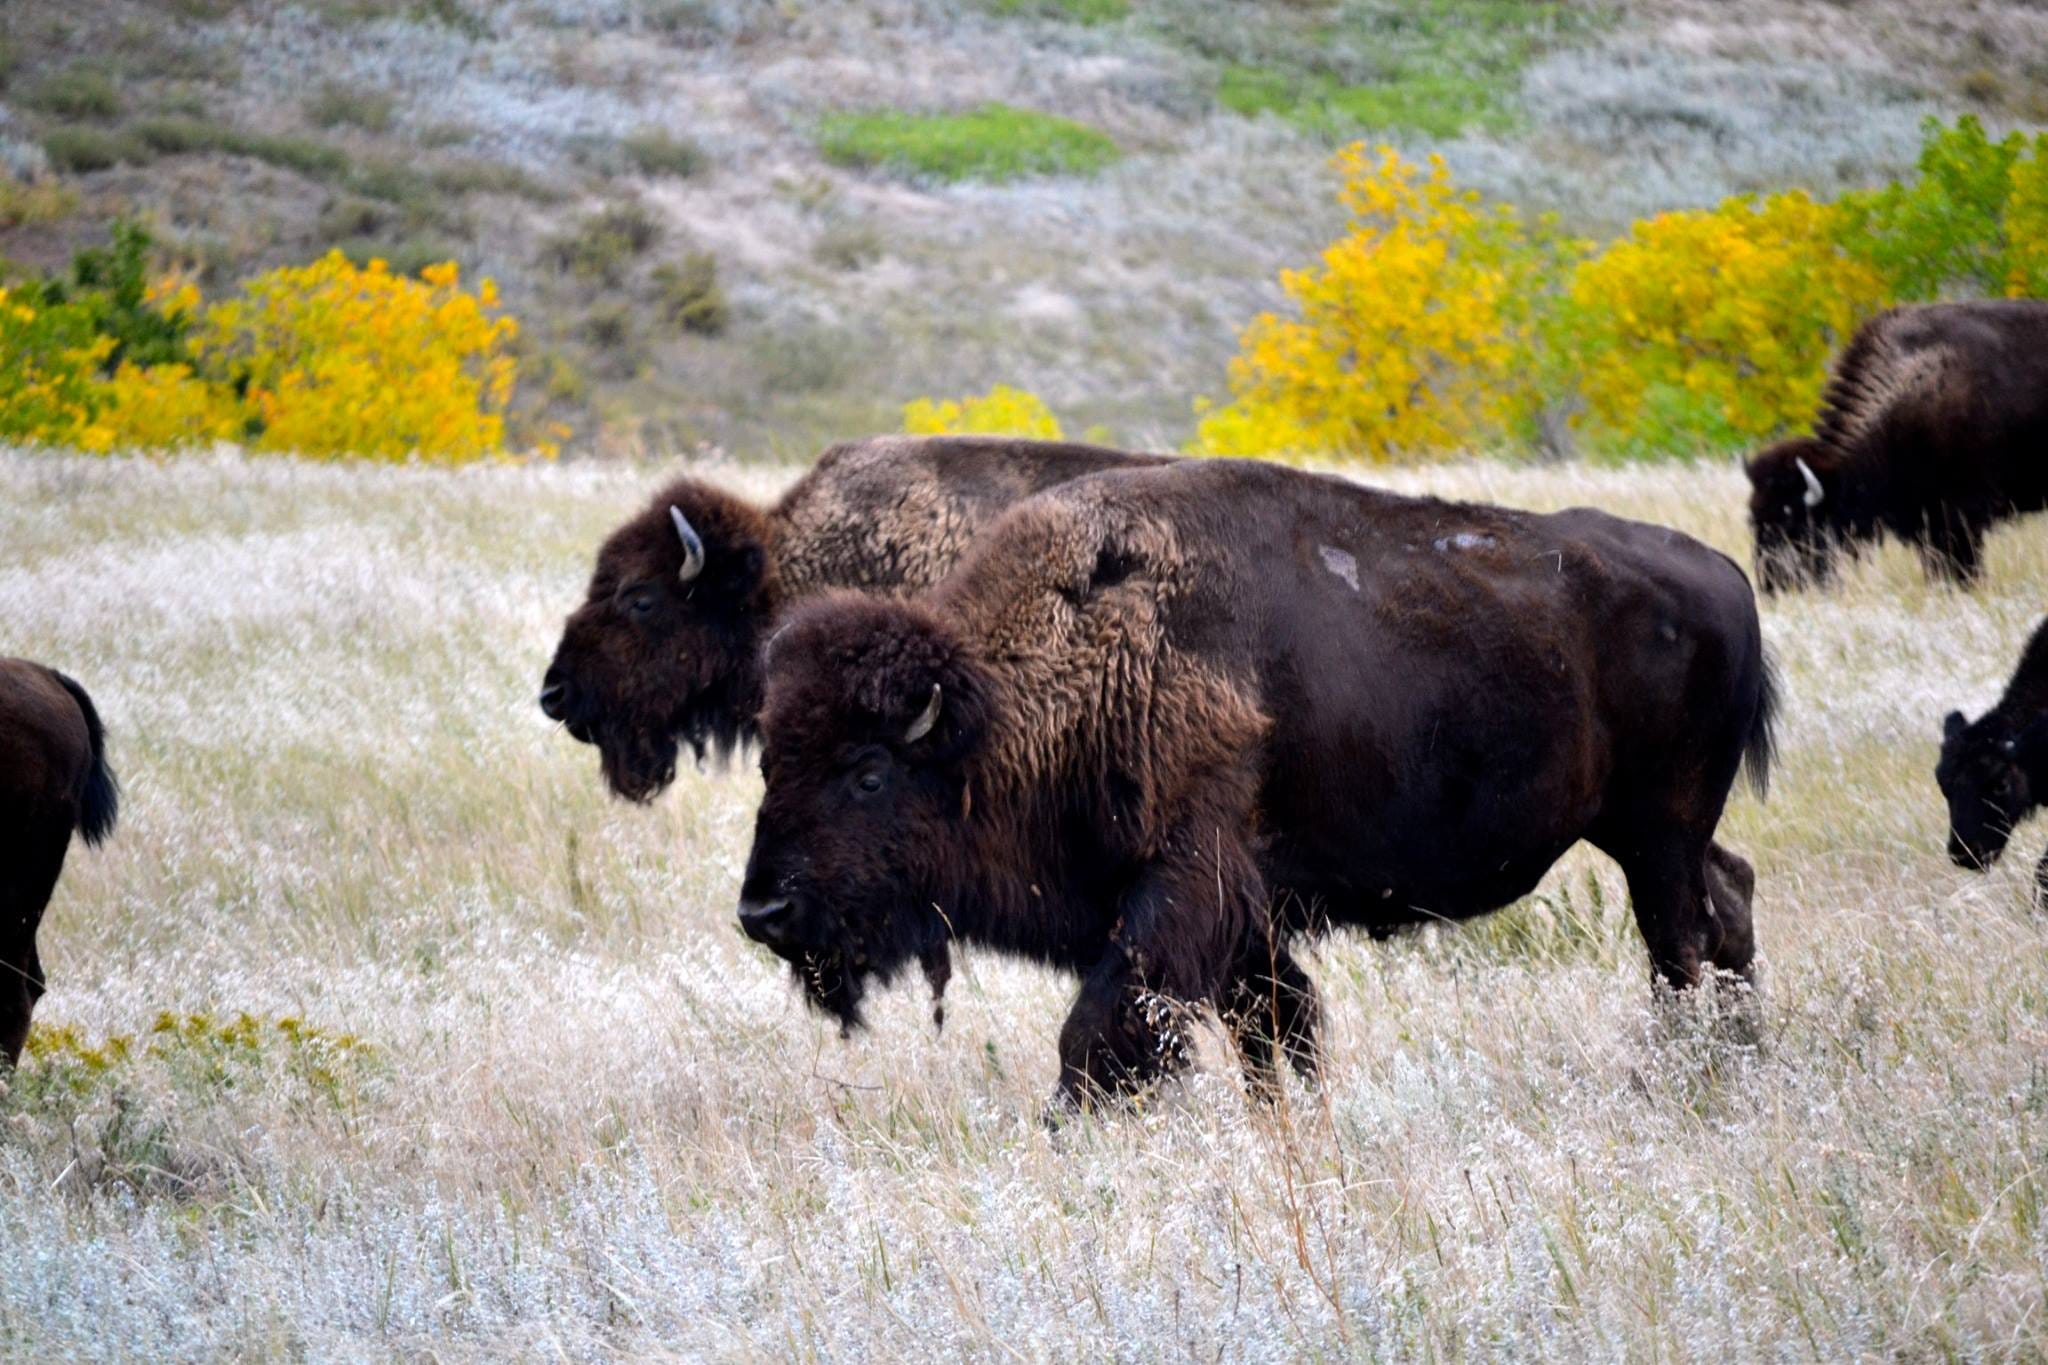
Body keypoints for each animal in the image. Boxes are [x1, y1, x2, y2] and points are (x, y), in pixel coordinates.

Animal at [737, 458, 1777, 1113]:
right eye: (768, 759)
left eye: (869, 772)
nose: (762, 909)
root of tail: (1720, 570)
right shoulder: (1243, 921)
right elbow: (1276, 1026)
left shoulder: (1182, 893)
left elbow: (1103, 1033)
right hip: (1645, 830)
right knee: (1729, 895)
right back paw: (1747, 1055)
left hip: (1657, 833)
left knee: (1677, 943)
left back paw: (1688, 1069)